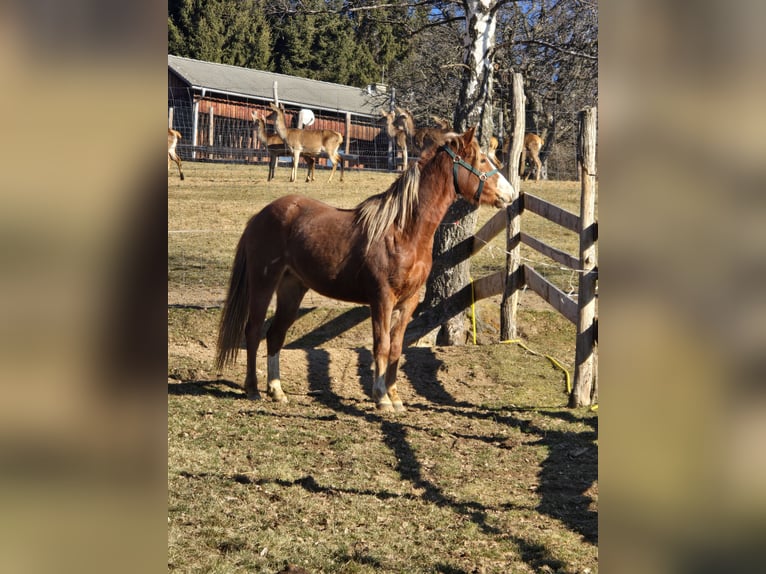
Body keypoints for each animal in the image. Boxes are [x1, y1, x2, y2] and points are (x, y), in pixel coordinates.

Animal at [214, 127, 516, 412]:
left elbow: (396, 348)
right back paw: (253, 389)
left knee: (275, 334)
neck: (403, 231)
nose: (510, 194)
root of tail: (261, 215)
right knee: (253, 330)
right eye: (481, 160)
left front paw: (395, 398)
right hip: (263, 283)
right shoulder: (381, 299)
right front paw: (381, 397)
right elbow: (381, 345)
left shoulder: (408, 303)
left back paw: (277, 390)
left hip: (292, 289)